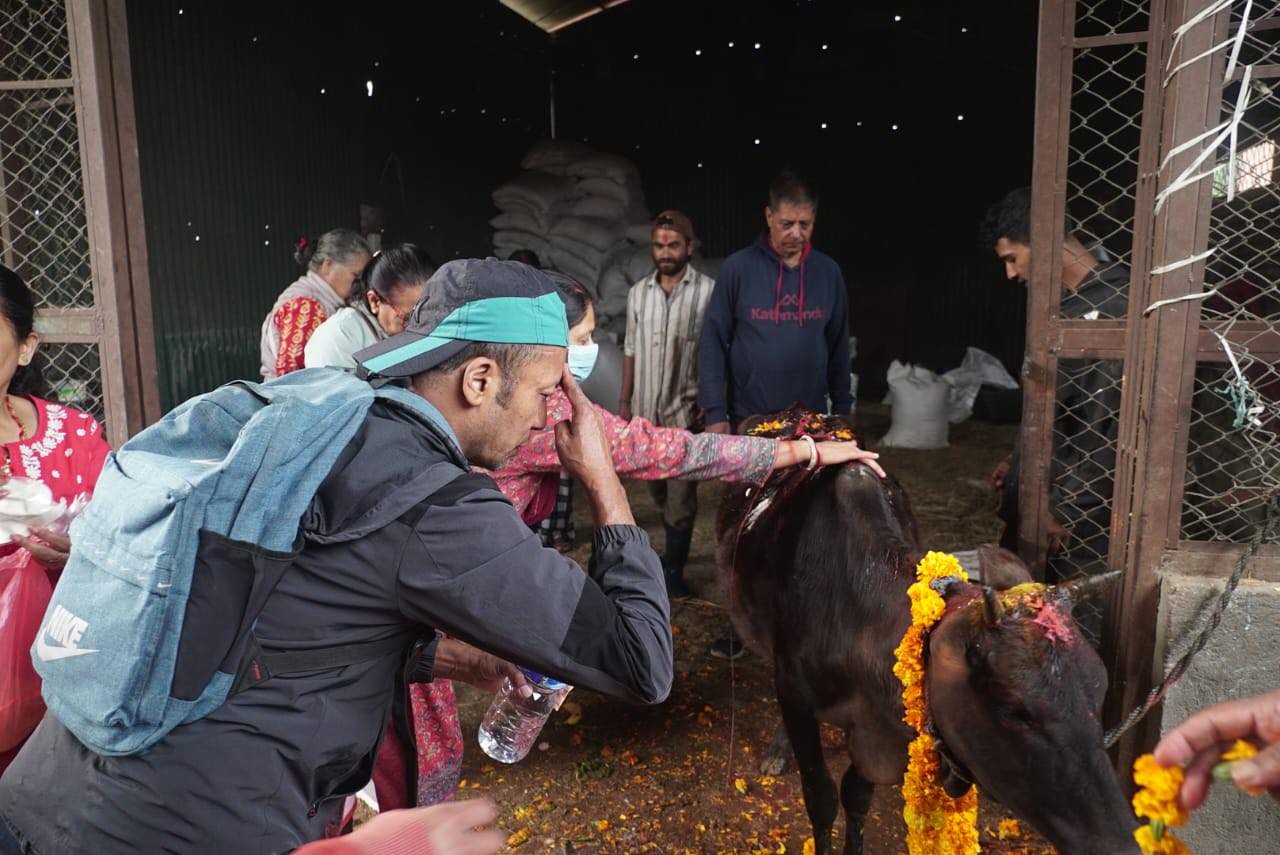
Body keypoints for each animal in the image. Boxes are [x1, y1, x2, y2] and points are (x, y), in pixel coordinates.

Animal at [721, 409, 1141, 855]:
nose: (1119, 842)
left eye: (1100, 691)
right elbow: (820, 798)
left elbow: (856, 795)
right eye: (1011, 711)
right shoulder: (795, 692)